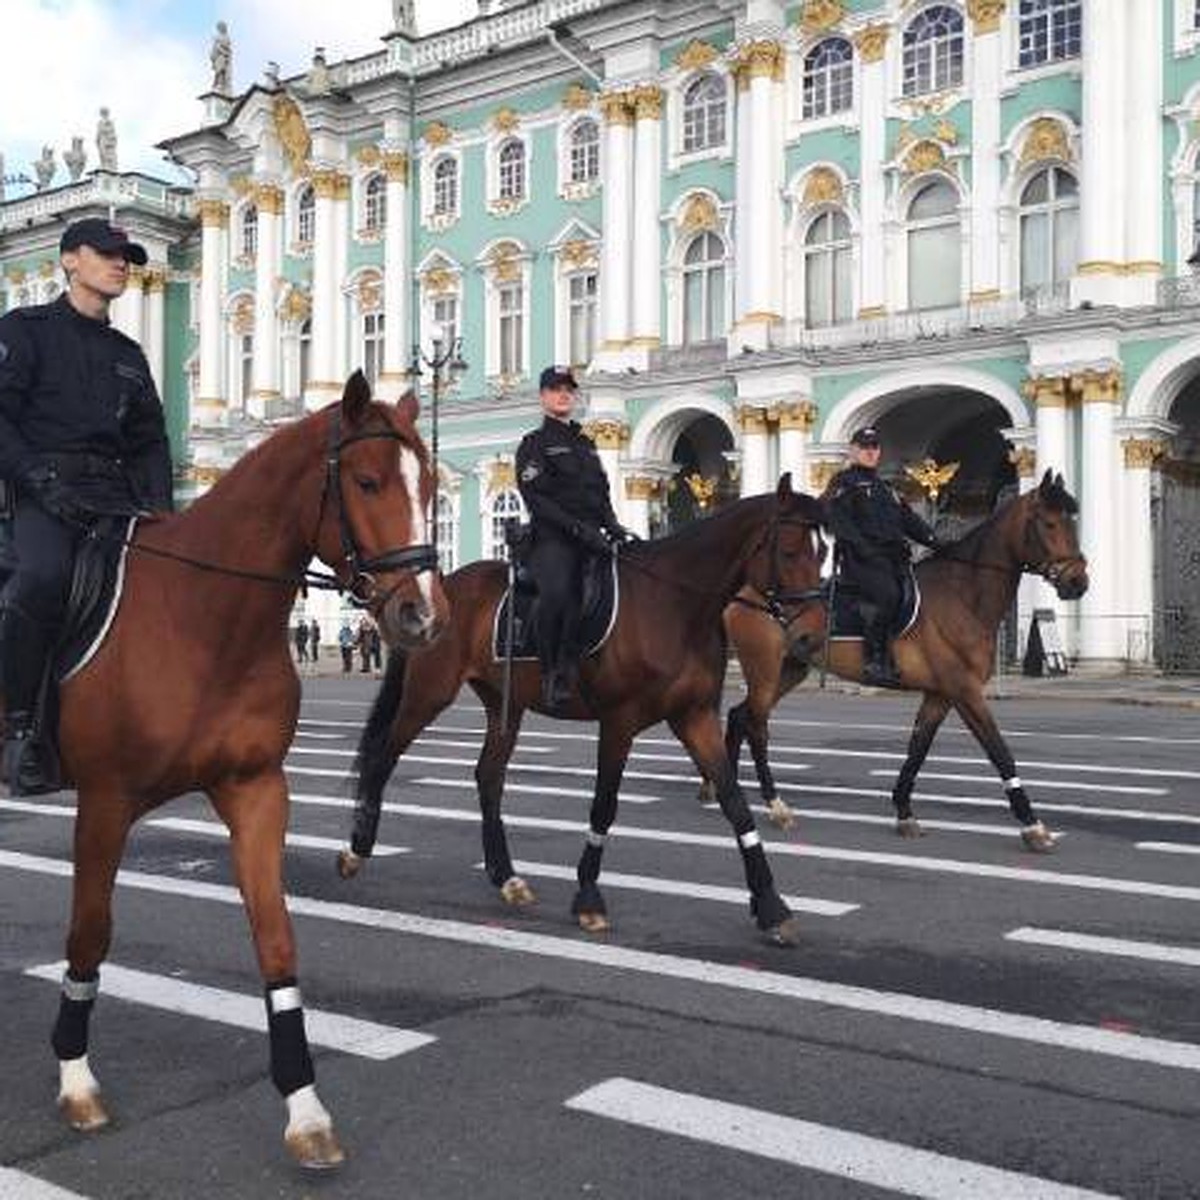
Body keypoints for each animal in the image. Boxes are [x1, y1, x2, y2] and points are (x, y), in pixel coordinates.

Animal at [4, 372, 446, 1161]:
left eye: (430, 486)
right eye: (366, 481)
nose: (422, 618)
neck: (200, 616)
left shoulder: (256, 790)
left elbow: (275, 936)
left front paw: (305, 1109)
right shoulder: (105, 800)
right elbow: (90, 930)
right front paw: (76, 1078)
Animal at [333, 475, 830, 945]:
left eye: (825, 551)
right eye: (789, 551)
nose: (811, 638)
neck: (673, 606)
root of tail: (435, 590)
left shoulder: (695, 716)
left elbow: (736, 804)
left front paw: (772, 907)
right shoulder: (619, 721)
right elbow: (604, 807)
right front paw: (589, 898)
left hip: (504, 704)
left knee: (488, 777)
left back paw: (506, 877)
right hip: (428, 693)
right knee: (383, 758)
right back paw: (357, 850)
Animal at [710, 468, 1089, 854]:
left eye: (1071, 521)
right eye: (1049, 523)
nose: (1078, 582)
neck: (962, 593)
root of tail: (742, 590)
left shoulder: (940, 695)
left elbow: (917, 750)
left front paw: (904, 811)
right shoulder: (965, 692)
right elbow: (1000, 752)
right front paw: (1033, 825)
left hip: (790, 669)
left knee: (740, 716)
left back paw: (721, 790)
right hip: (765, 670)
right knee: (755, 725)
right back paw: (774, 805)